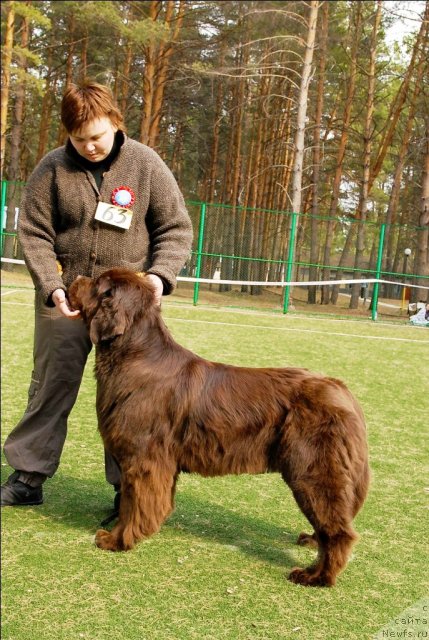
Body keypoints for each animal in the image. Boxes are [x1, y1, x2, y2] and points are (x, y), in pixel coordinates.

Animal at [67, 268, 368, 588]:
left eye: (97, 284)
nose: (75, 278)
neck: (134, 355)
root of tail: (343, 391)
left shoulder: (143, 458)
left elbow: (133, 503)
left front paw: (116, 540)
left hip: (313, 470)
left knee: (338, 531)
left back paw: (316, 576)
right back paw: (311, 542)